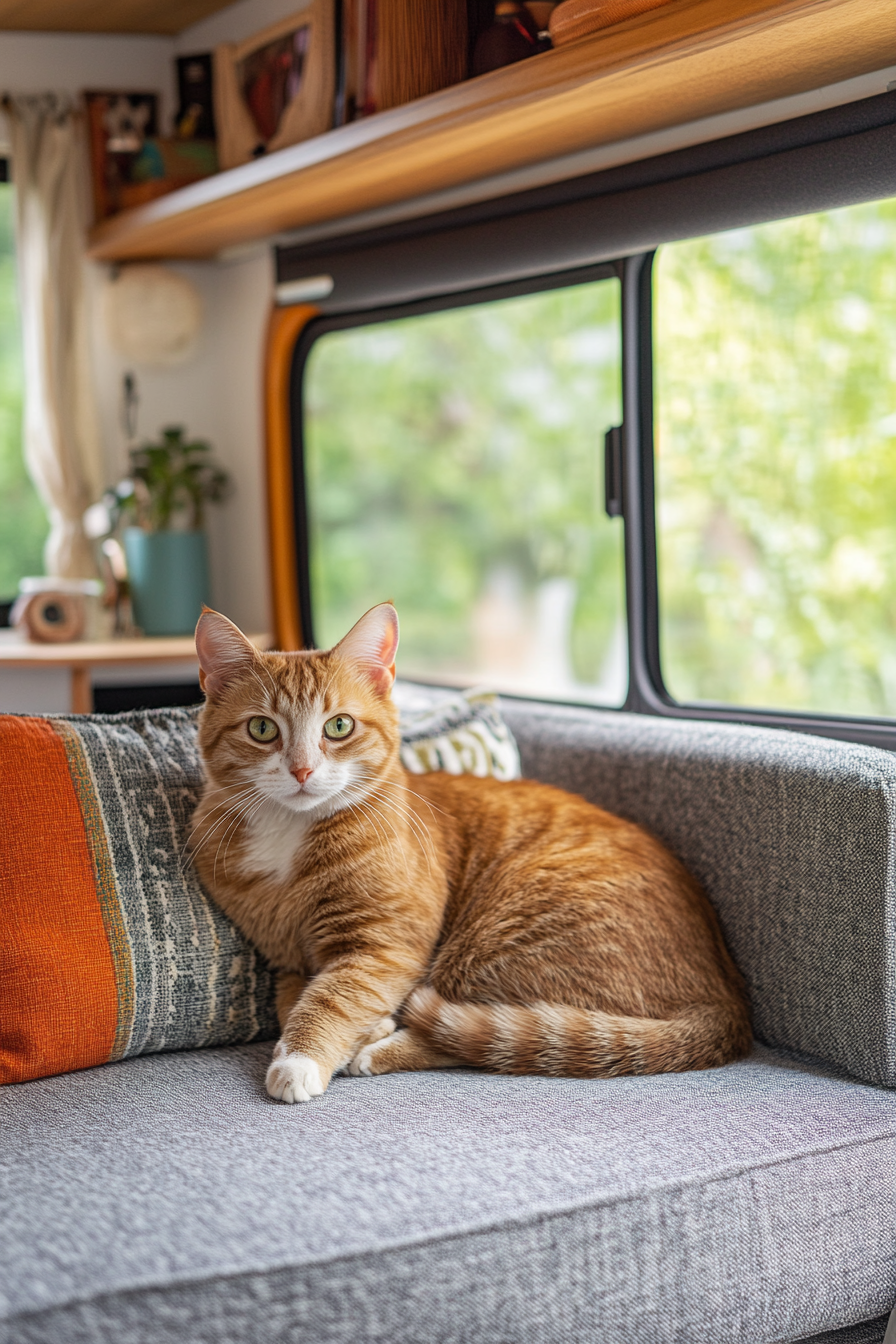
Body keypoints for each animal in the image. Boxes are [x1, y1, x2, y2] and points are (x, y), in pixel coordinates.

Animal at [193, 607, 752, 1102]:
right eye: (262, 729)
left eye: (339, 726)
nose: (302, 771)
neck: (292, 833)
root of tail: (728, 1000)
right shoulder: (287, 960)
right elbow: (294, 1002)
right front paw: (331, 1034)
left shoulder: (385, 947)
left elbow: (333, 999)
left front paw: (301, 1061)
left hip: (491, 942)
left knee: (488, 1041)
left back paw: (380, 1050)